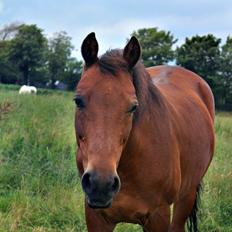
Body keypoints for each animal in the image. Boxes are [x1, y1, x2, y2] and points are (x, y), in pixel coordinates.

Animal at [74, 33, 214, 232]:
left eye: (133, 106)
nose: (100, 183)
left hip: (187, 196)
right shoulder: (96, 216)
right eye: (78, 100)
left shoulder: (158, 216)